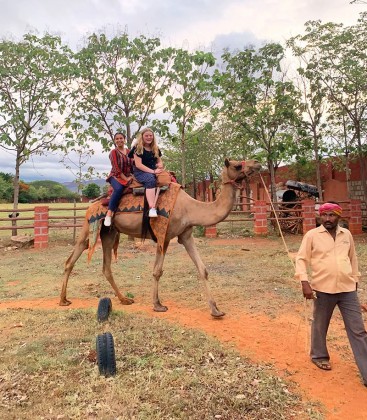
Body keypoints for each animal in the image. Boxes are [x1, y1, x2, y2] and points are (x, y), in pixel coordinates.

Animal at [60, 159, 262, 316]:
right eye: (237, 165)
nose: (257, 163)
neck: (190, 208)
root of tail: (91, 205)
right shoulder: (163, 235)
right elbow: (157, 271)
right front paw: (158, 305)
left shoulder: (185, 235)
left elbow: (202, 269)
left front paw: (216, 310)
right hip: (89, 226)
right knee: (72, 258)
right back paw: (63, 300)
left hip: (109, 233)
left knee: (106, 267)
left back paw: (124, 299)